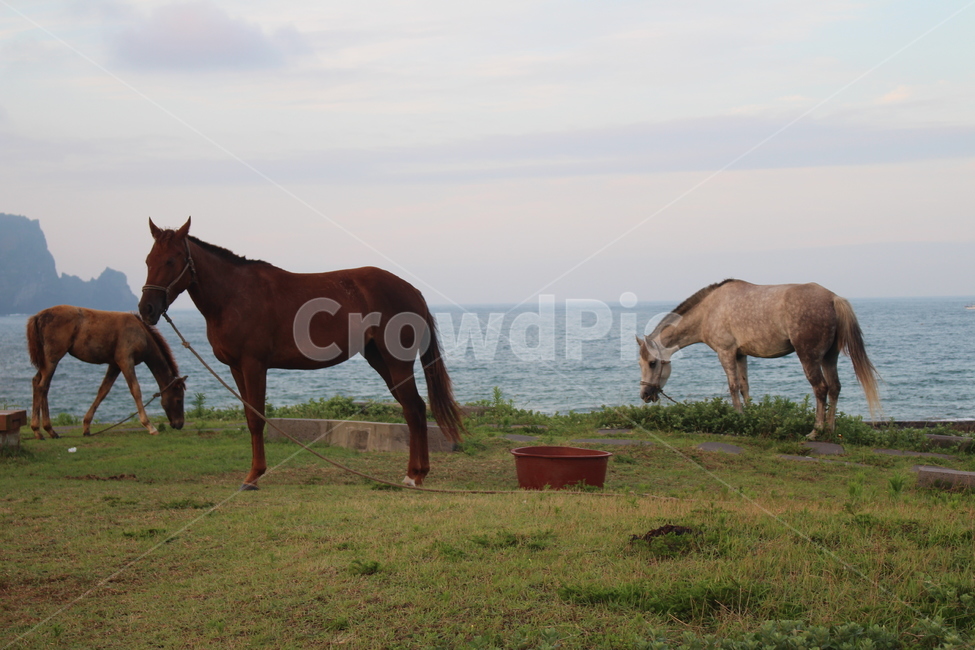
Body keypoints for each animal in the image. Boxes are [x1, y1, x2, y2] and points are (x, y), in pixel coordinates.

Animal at [27, 305, 186, 439]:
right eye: (179, 400)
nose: (179, 424)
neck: (141, 333)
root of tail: (38, 316)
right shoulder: (125, 361)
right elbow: (136, 390)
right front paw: (150, 426)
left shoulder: (114, 365)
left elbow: (103, 391)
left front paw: (86, 427)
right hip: (52, 358)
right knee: (42, 386)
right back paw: (40, 430)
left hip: (46, 361)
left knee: (38, 382)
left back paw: (47, 431)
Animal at [138, 217, 464, 490]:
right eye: (148, 260)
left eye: (171, 260)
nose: (147, 309)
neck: (234, 295)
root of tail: (412, 290)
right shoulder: (236, 368)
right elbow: (249, 416)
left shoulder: (254, 365)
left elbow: (256, 419)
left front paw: (254, 476)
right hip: (379, 359)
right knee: (415, 408)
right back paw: (418, 473)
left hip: (396, 362)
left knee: (413, 409)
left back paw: (413, 476)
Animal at [636, 279, 881, 438]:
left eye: (652, 363)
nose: (645, 394)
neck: (709, 310)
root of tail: (832, 298)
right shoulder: (740, 354)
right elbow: (744, 386)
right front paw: (749, 416)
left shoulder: (725, 353)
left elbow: (733, 386)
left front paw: (737, 417)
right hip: (829, 357)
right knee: (835, 387)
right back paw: (830, 428)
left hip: (809, 357)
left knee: (821, 388)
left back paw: (815, 431)